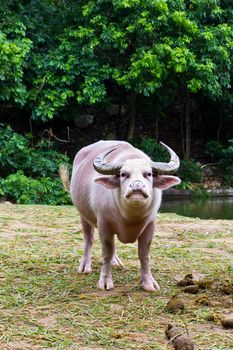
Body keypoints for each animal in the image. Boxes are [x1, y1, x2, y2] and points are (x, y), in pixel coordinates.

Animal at [60, 141, 180, 292]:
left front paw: (148, 282)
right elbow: (106, 252)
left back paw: (115, 261)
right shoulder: (104, 224)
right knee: (89, 239)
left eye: (148, 174)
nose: (137, 186)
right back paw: (85, 266)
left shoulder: (150, 225)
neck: (131, 216)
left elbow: (144, 254)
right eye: (123, 174)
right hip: (83, 215)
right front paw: (105, 281)